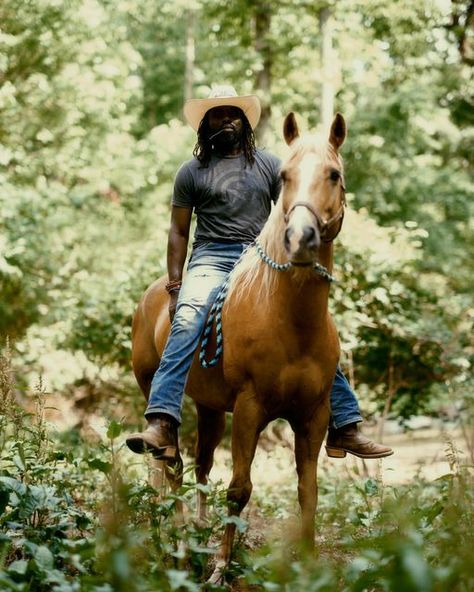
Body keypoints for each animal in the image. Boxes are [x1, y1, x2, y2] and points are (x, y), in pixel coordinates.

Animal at [131, 112, 346, 584]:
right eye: (285, 177)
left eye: (334, 175)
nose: (300, 237)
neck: (290, 322)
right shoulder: (250, 408)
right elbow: (239, 490)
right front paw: (219, 569)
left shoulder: (314, 414)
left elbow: (308, 492)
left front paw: (307, 568)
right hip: (156, 392)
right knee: (170, 463)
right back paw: (176, 543)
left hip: (210, 407)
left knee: (200, 465)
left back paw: (194, 532)